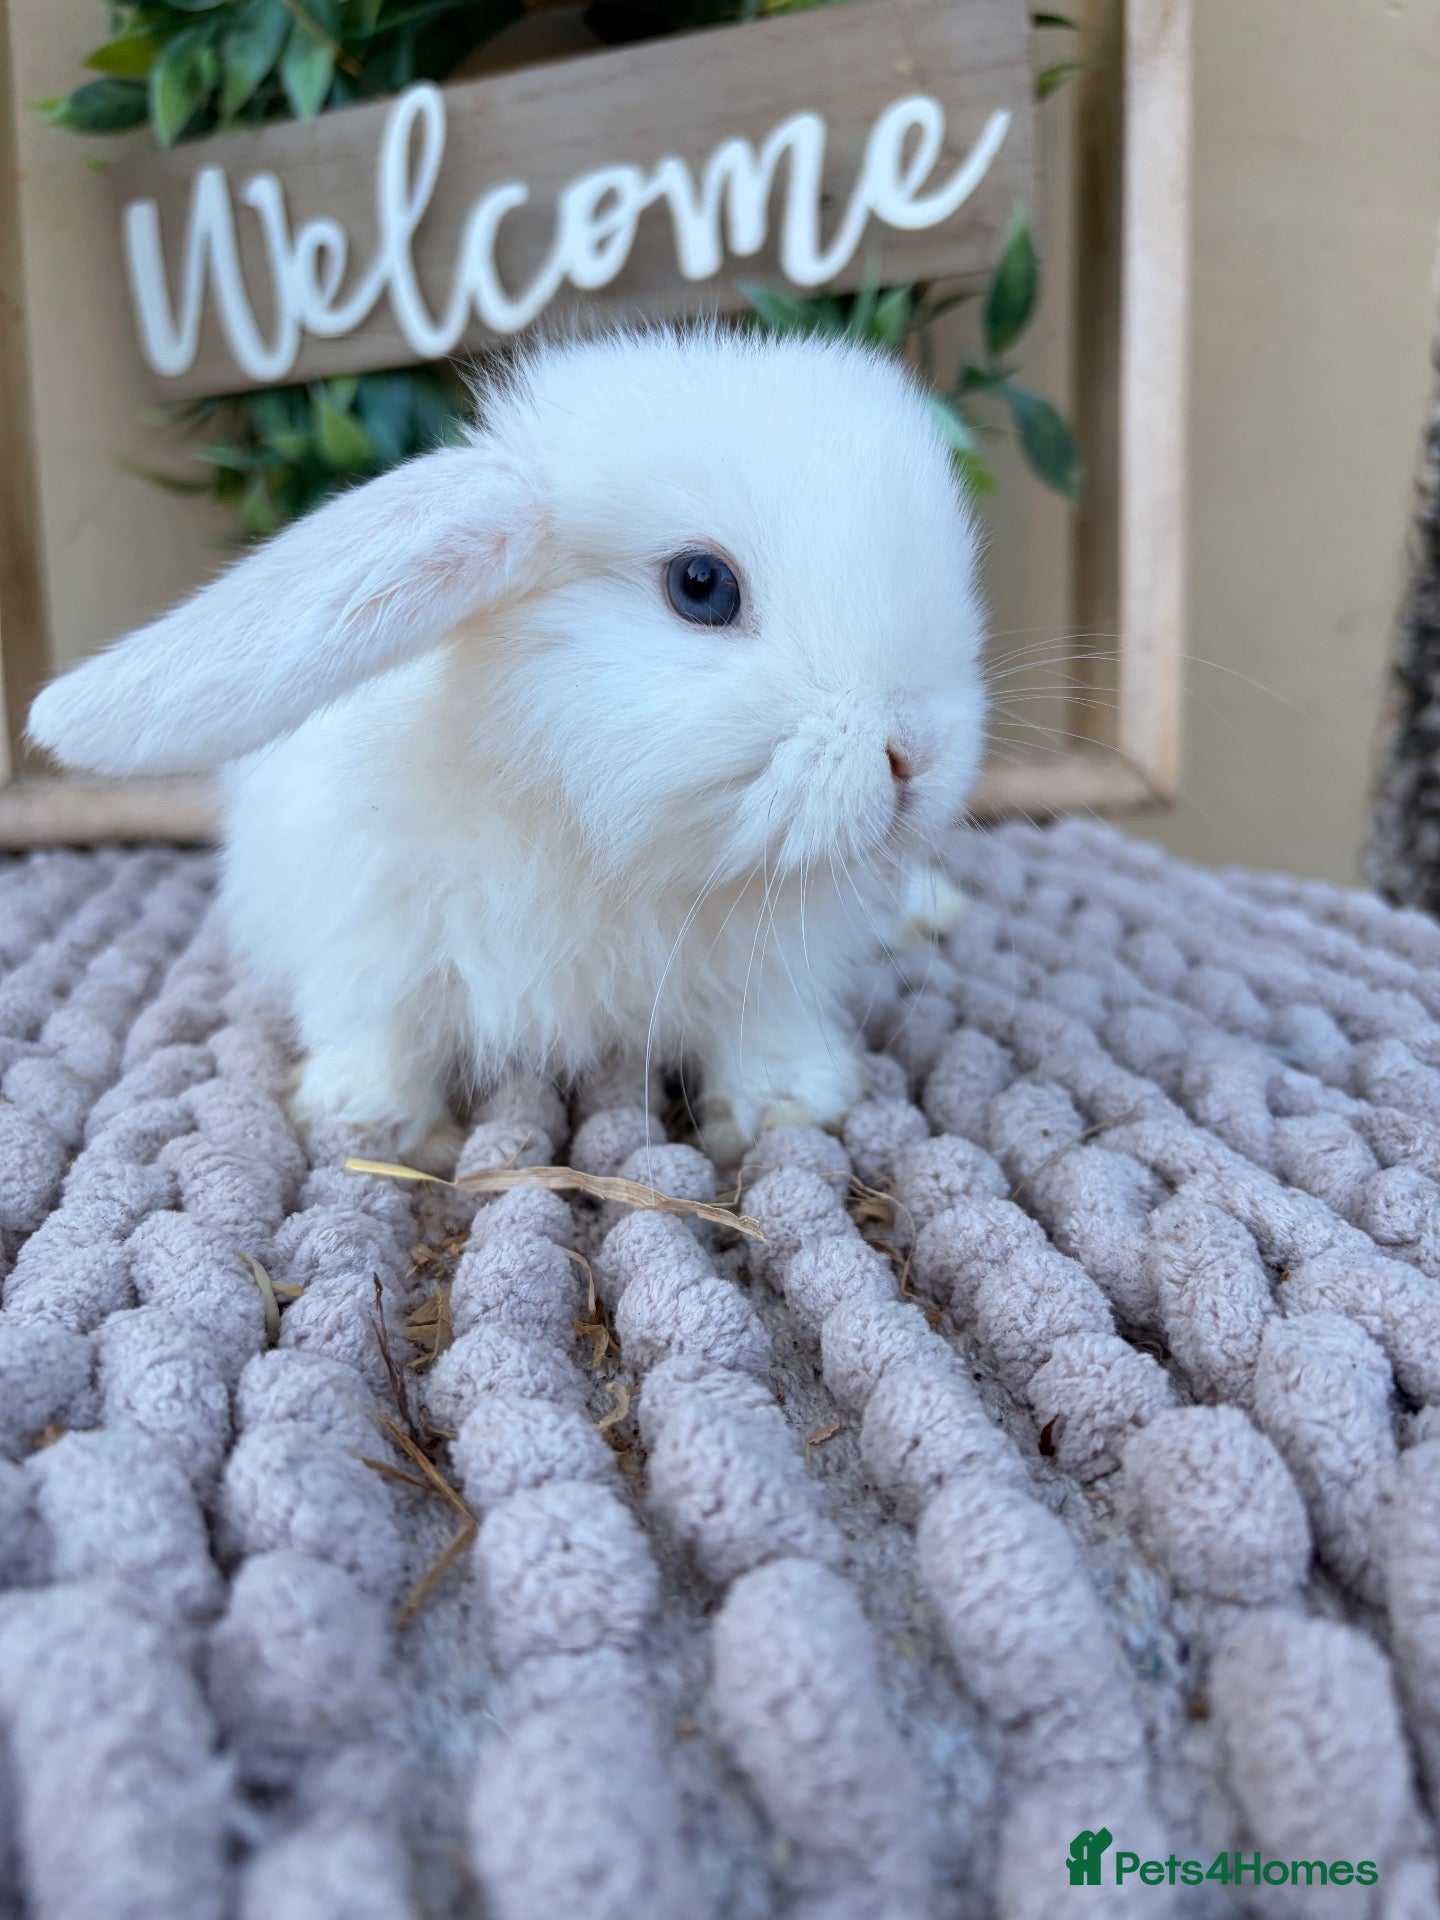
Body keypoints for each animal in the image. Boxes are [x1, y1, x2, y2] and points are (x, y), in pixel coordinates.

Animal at [29, 326, 986, 1168]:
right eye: (701, 585)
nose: (916, 755)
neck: (590, 829)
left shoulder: (769, 972)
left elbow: (765, 1034)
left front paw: (790, 1106)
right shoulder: (362, 929)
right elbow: (375, 1027)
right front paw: (367, 1121)